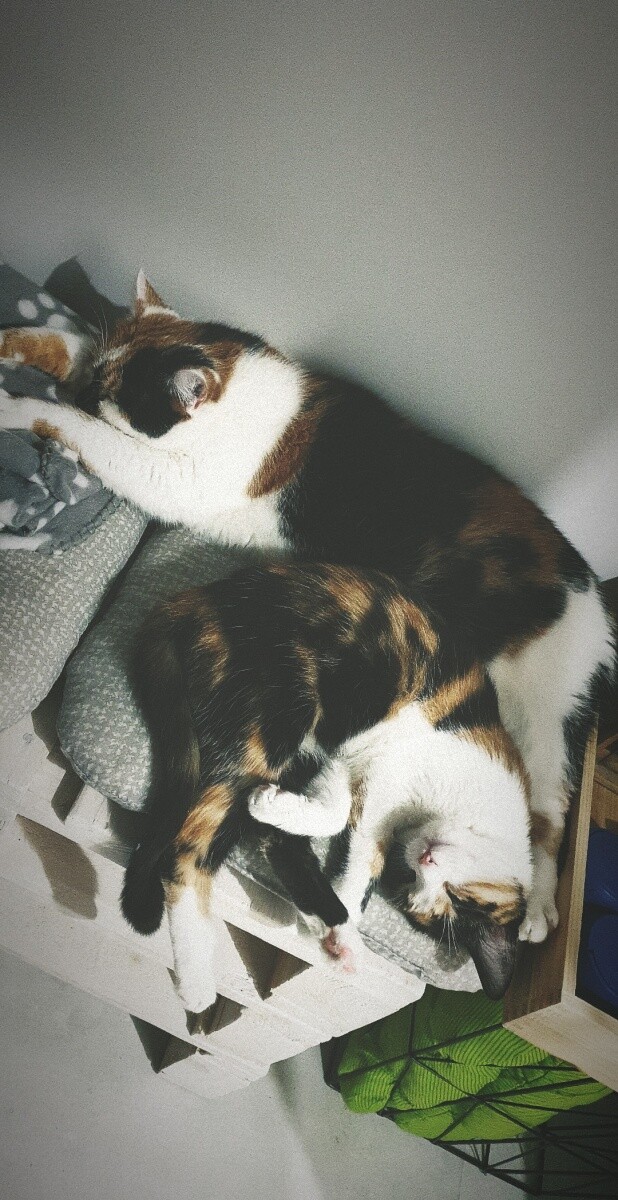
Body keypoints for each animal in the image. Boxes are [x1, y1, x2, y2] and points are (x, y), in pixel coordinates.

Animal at [1, 271, 614, 942]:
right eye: (93, 380)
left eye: (109, 397)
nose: (80, 392)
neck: (238, 394)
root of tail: (591, 593)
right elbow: (63, 339)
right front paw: (15, 344)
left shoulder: (175, 479)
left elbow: (89, 435)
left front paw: (21, 408)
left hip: (531, 713)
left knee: (547, 813)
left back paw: (537, 910)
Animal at [121, 560, 533, 1008]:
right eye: (458, 899)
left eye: (414, 884)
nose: (425, 859)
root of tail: (202, 597)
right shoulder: (380, 760)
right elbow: (341, 818)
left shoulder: (348, 772)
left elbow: (357, 862)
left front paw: (343, 937)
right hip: (285, 706)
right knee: (189, 847)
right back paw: (196, 980)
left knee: (268, 838)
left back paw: (320, 911)